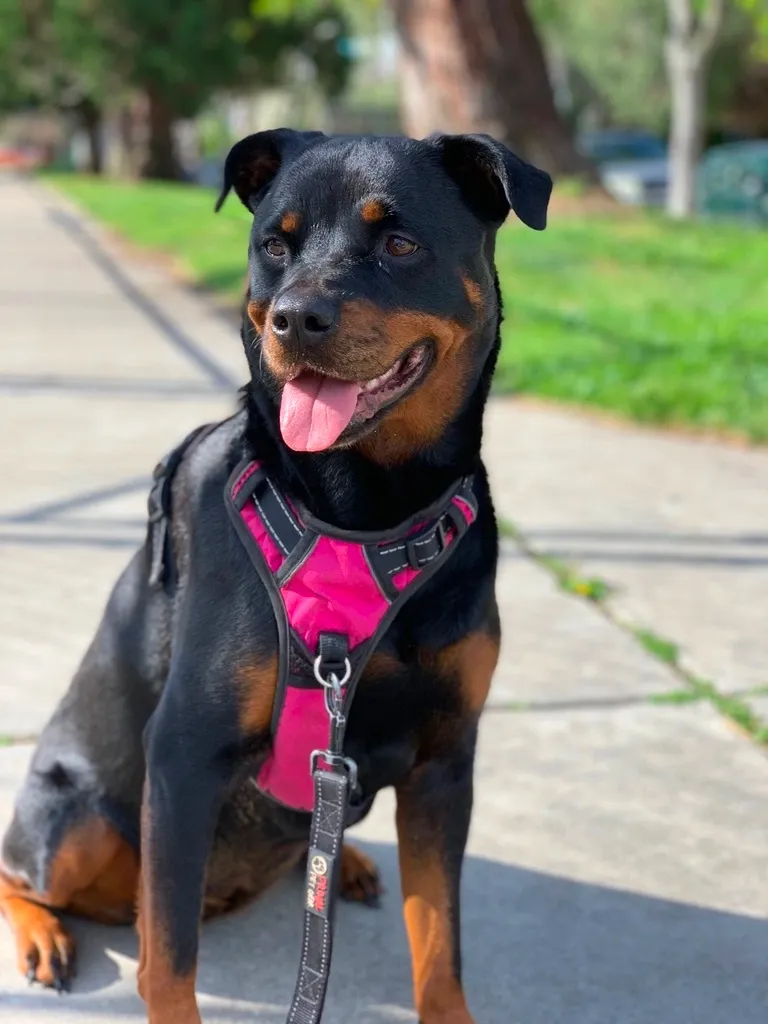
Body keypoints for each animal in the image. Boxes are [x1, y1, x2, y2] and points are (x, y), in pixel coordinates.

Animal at [0, 130, 552, 1024]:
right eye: (274, 244)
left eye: (400, 243)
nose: (295, 317)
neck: (361, 516)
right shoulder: (185, 752)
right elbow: (169, 961)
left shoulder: (445, 760)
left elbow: (440, 941)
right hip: (76, 818)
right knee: (23, 874)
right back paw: (43, 933)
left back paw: (343, 863)